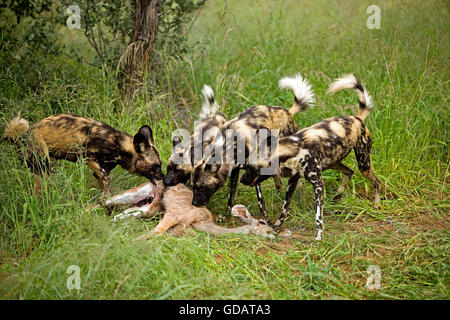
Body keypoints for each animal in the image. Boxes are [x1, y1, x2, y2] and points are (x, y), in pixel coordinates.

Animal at [2, 114, 164, 196]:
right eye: (156, 166)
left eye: (160, 165)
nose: (164, 177)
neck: (119, 145)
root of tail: (25, 134)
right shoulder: (88, 157)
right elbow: (106, 180)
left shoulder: (102, 169)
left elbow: (105, 187)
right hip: (43, 166)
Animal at [192, 73, 314, 219]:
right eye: (193, 187)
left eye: (201, 187)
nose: (193, 203)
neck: (228, 146)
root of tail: (288, 113)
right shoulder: (235, 171)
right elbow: (232, 194)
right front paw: (228, 213)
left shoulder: (253, 174)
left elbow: (261, 202)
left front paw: (266, 219)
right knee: (276, 177)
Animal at [241, 74, 382, 240]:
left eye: (252, 168)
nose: (242, 180)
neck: (292, 152)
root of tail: (357, 118)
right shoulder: (293, 181)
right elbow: (284, 209)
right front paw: (276, 226)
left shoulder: (318, 184)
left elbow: (318, 217)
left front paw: (319, 236)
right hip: (334, 162)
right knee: (349, 172)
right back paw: (338, 196)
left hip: (363, 164)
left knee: (376, 182)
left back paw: (377, 204)